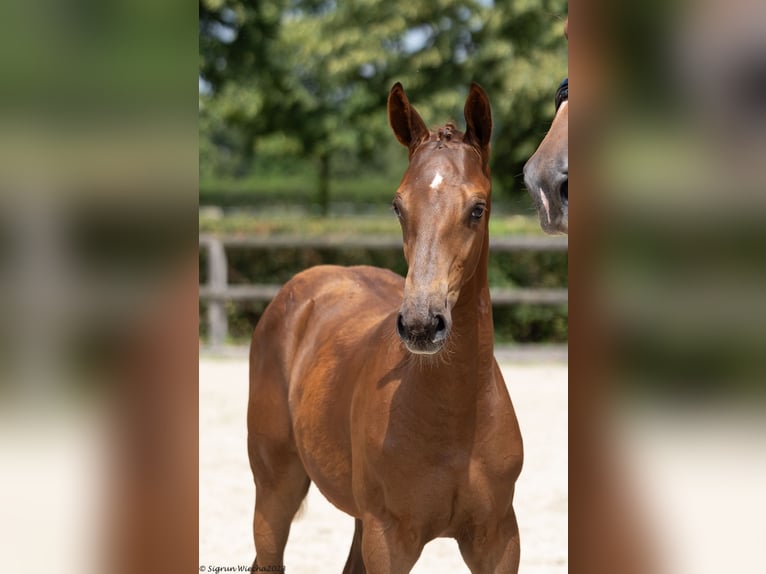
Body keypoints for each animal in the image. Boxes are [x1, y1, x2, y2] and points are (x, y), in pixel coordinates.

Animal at [247, 82, 523, 573]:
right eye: (397, 206)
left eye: (478, 208)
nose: (421, 324)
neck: (457, 419)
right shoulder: (389, 539)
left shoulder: (498, 539)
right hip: (275, 488)